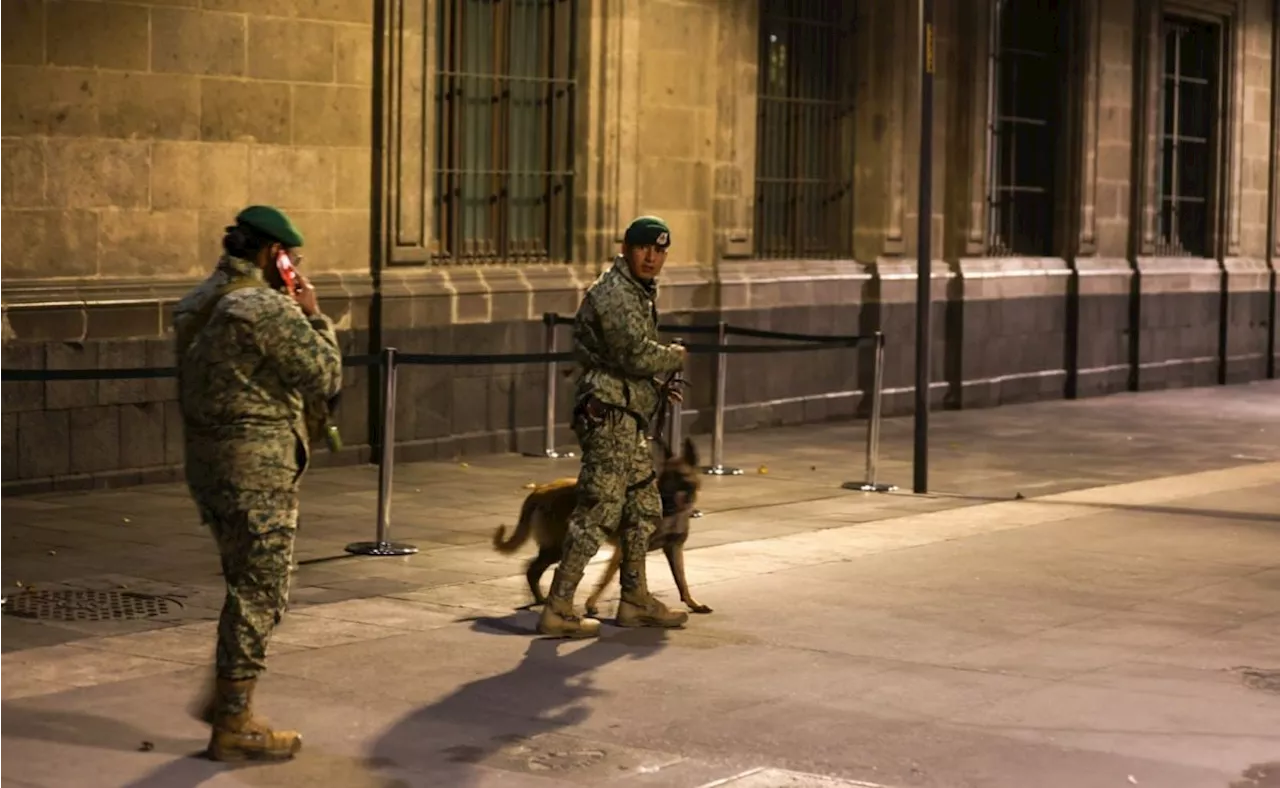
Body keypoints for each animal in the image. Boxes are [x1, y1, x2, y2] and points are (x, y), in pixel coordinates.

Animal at [491, 437, 711, 616]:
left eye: (679, 477)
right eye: (664, 477)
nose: (660, 502)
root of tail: (541, 489)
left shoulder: (673, 549)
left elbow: (681, 581)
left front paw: (692, 604)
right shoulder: (624, 550)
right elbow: (606, 579)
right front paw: (592, 604)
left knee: (532, 570)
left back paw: (539, 599)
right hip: (559, 547)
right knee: (532, 570)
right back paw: (542, 600)